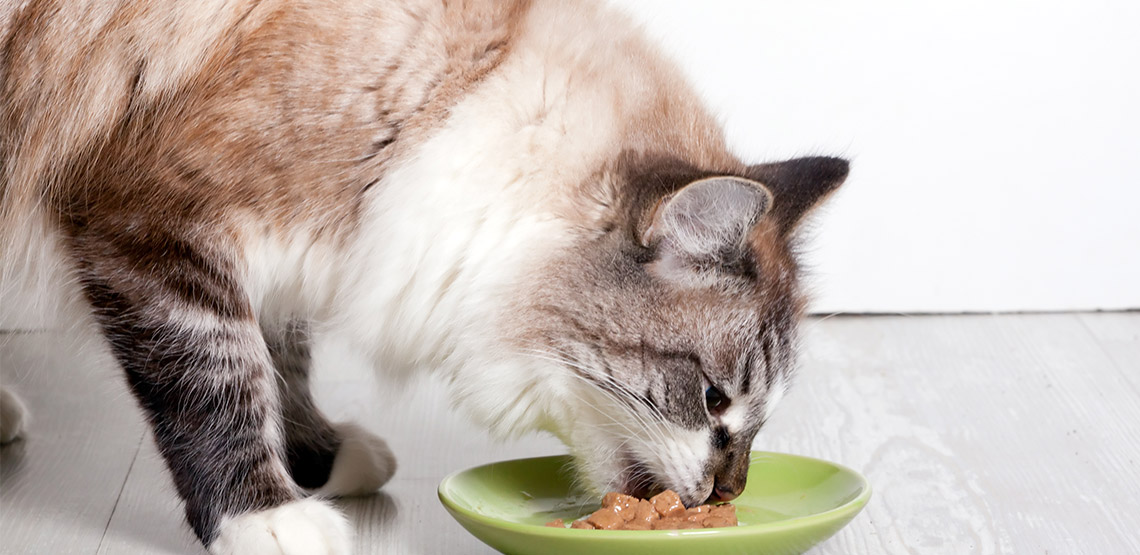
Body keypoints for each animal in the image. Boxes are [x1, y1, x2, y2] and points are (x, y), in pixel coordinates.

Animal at [0, 1, 848, 551]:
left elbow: (283, 354)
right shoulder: (149, 218)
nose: (731, 493)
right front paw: (263, 513)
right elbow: (221, 378)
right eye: (713, 400)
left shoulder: (291, 251)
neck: (447, 98)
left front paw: (318, 457)